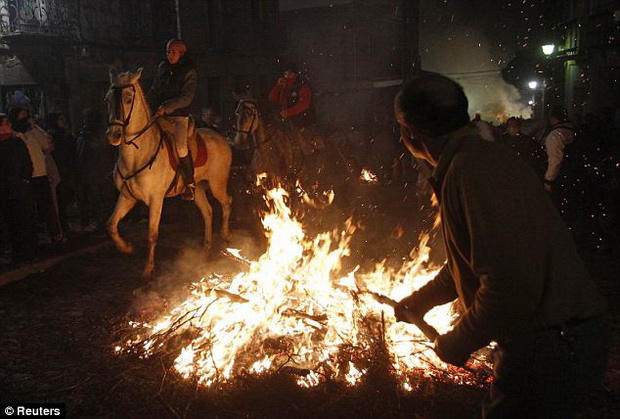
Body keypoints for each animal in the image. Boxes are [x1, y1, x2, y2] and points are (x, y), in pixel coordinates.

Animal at [106, 68, 232, 278]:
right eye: (107, 99)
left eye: (128, 99)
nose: (114, 135)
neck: (138, 154)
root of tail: (221, 138)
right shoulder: (127, 197)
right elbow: (111, 225)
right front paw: (127, 248)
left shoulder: (156, 199)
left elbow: (152, 234)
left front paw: (148, 268)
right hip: (198, 189)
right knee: (207, 211)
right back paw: (206, 245)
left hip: (217, 185)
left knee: (227, 202)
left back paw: (224, 234)